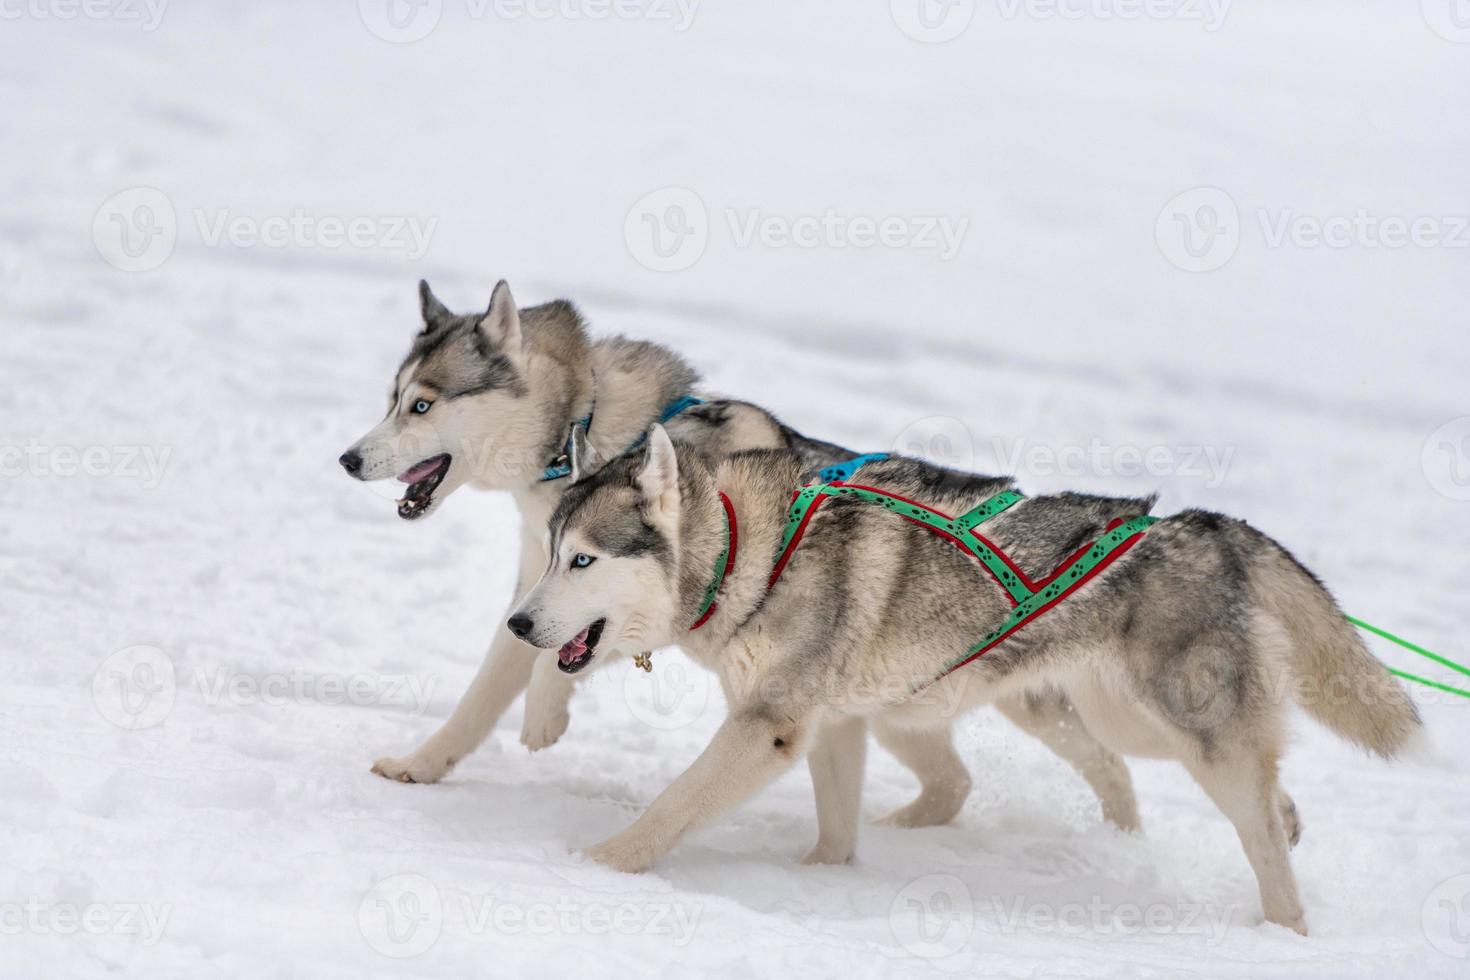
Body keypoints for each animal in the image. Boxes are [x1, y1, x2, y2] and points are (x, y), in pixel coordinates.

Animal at [517, 429, 1422, 934]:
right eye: (551, 553)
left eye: (583, 561)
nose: (519, 625)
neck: (749, 553)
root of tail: (1212, 527)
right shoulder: (833, 725)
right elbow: (835, 834)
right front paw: (820, 877)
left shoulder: (769, 728)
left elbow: (670, 808)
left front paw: (598, 866)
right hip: (1098, 718)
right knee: (1144, 776)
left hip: (1188, 736)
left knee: (1256, 824)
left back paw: (1285, 931)